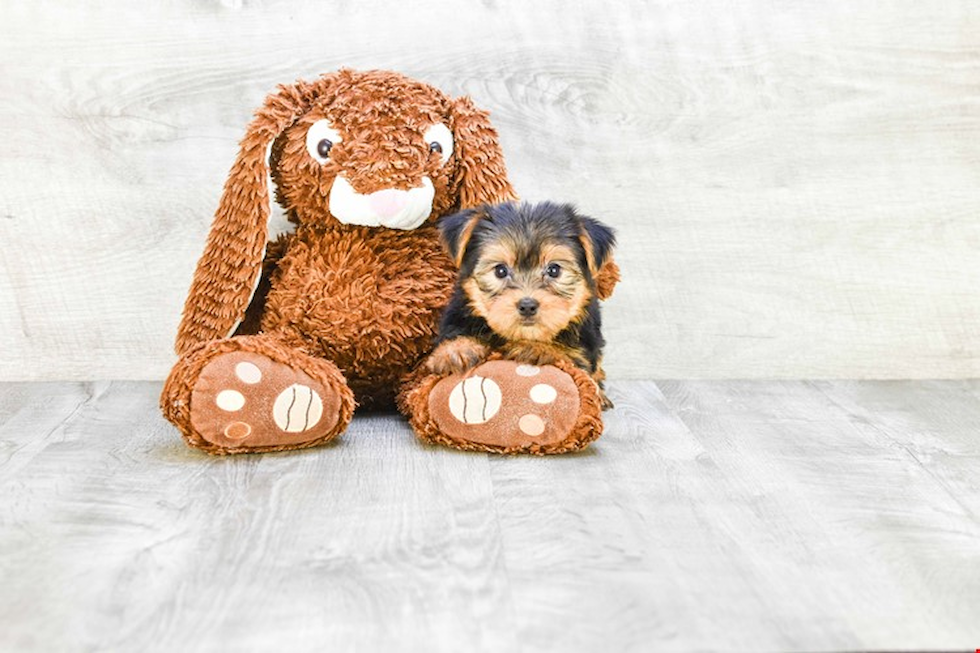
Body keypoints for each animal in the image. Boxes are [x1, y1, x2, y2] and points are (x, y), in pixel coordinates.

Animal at [426, 200, 612, 408]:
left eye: (554, 270)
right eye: (500, 270)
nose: (528, 305)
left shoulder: (582, 350)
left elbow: (568, 356)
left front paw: (536, 348)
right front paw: (455, 350)